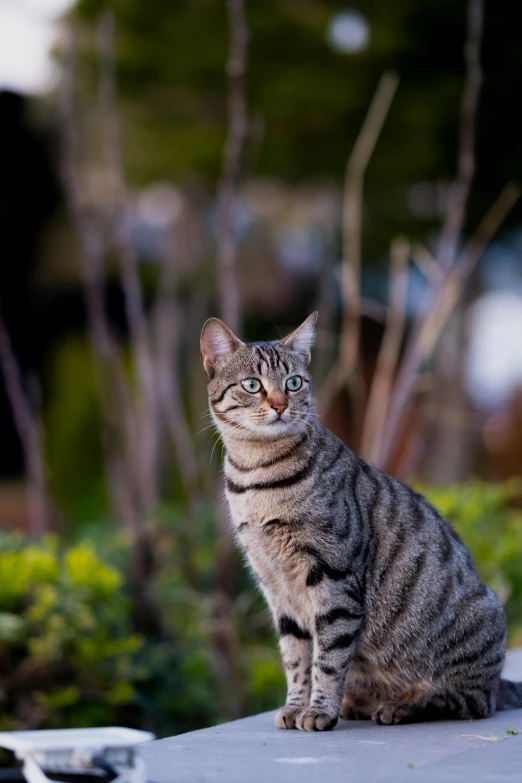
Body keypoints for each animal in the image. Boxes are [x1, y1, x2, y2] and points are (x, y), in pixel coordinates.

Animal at [199, 314, 520, 736]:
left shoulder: (334, 578)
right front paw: (295, 706)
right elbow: (296, 660)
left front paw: (318, 711)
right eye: (252, 385)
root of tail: (500, 682)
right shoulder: (277, 589)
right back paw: (360, 703)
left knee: (466, 702)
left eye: (294, 383)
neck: (257, 476)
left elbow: (328, 660)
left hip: (480, 624)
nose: (281, 405)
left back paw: (399, 707)